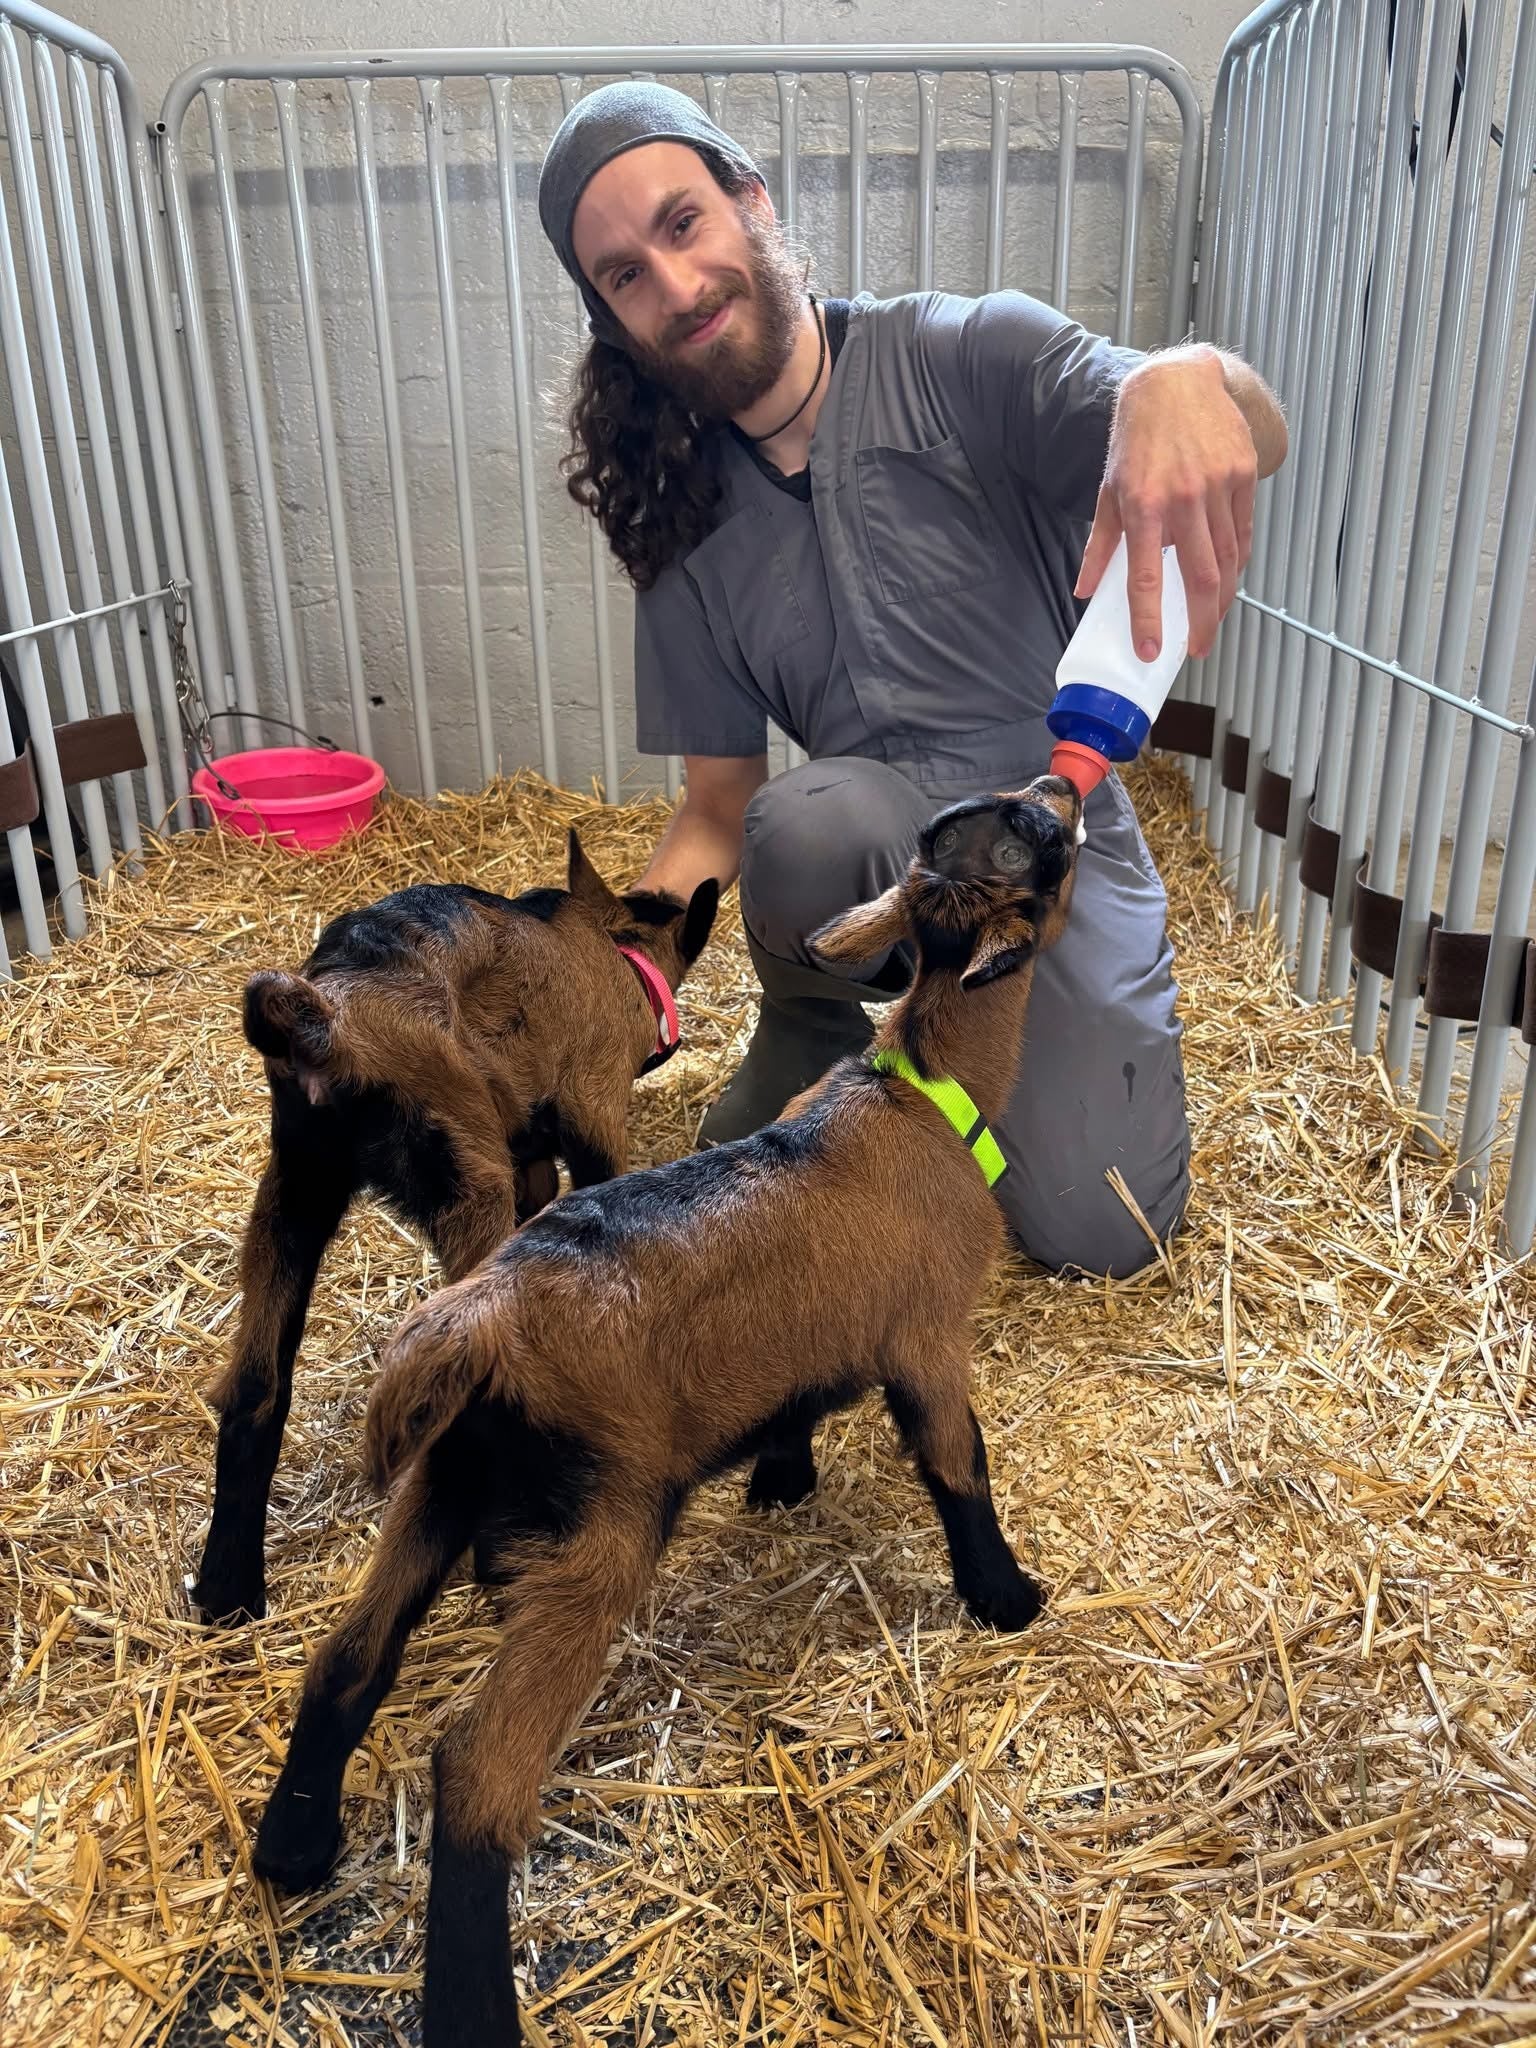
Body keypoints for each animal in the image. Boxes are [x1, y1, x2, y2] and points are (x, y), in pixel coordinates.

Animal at [191, 833, 718, 1625]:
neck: (615, 948)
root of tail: (327, 1014)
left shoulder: (528, 1153)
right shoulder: (591, 1113)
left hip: (297, 1188)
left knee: (256, 1386)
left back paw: (229, 1591)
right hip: (465, 1177)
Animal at [250, 773, 1083, 2046]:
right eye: (1037, 842)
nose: (1062, 787)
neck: (923, 1091)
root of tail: (479, 1313)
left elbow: (794, 1408)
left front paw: (784, 1479)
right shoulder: (930, 1339)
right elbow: (960, 1465)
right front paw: (1005, 1597)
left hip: (446, 1485)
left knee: (346, 1658)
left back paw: (293, 1846)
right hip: (598, 1530)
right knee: (477, 1773)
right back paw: (474, 2006)